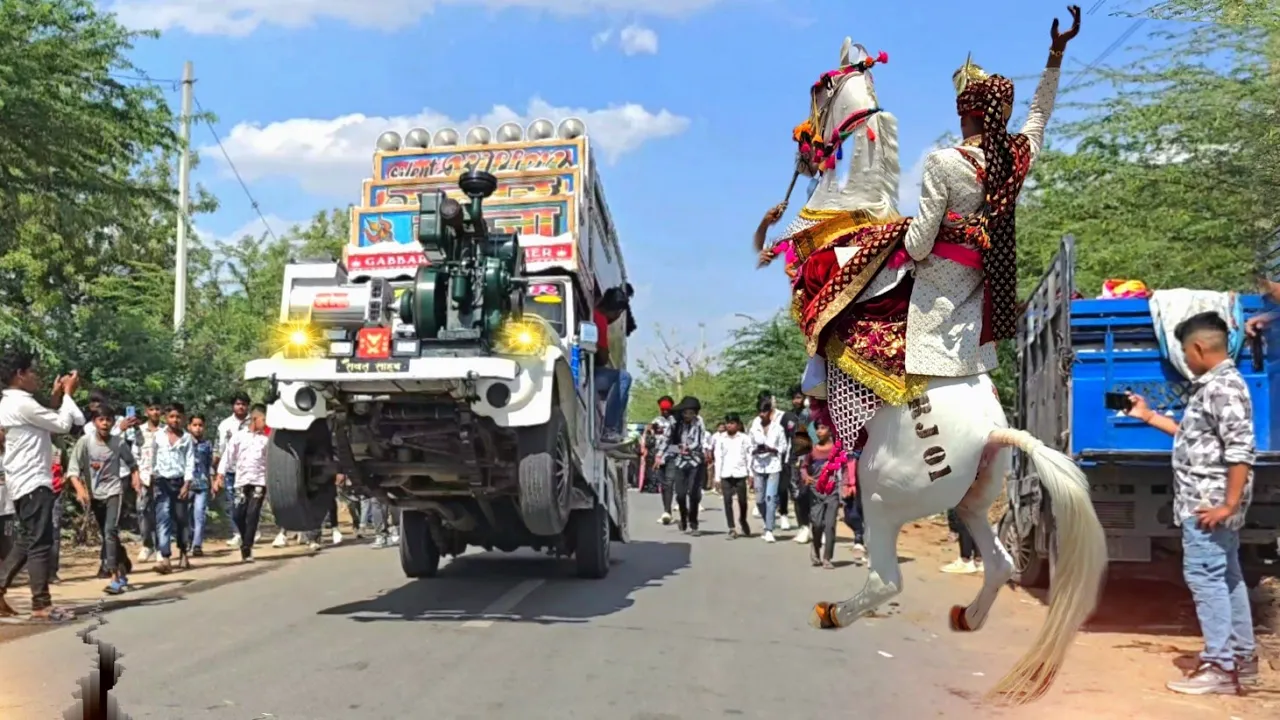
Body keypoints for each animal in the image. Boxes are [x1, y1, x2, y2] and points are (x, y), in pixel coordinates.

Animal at [783, 37, 1105, 702]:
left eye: (818, 88)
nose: (802, 148)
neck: (851, 220)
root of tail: (995, 432)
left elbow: (811, 362)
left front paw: (810, 395)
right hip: (975, 499)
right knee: (1001, 562)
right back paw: (968, 616)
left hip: (883, 497)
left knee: (887, 580)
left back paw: (833, 611)